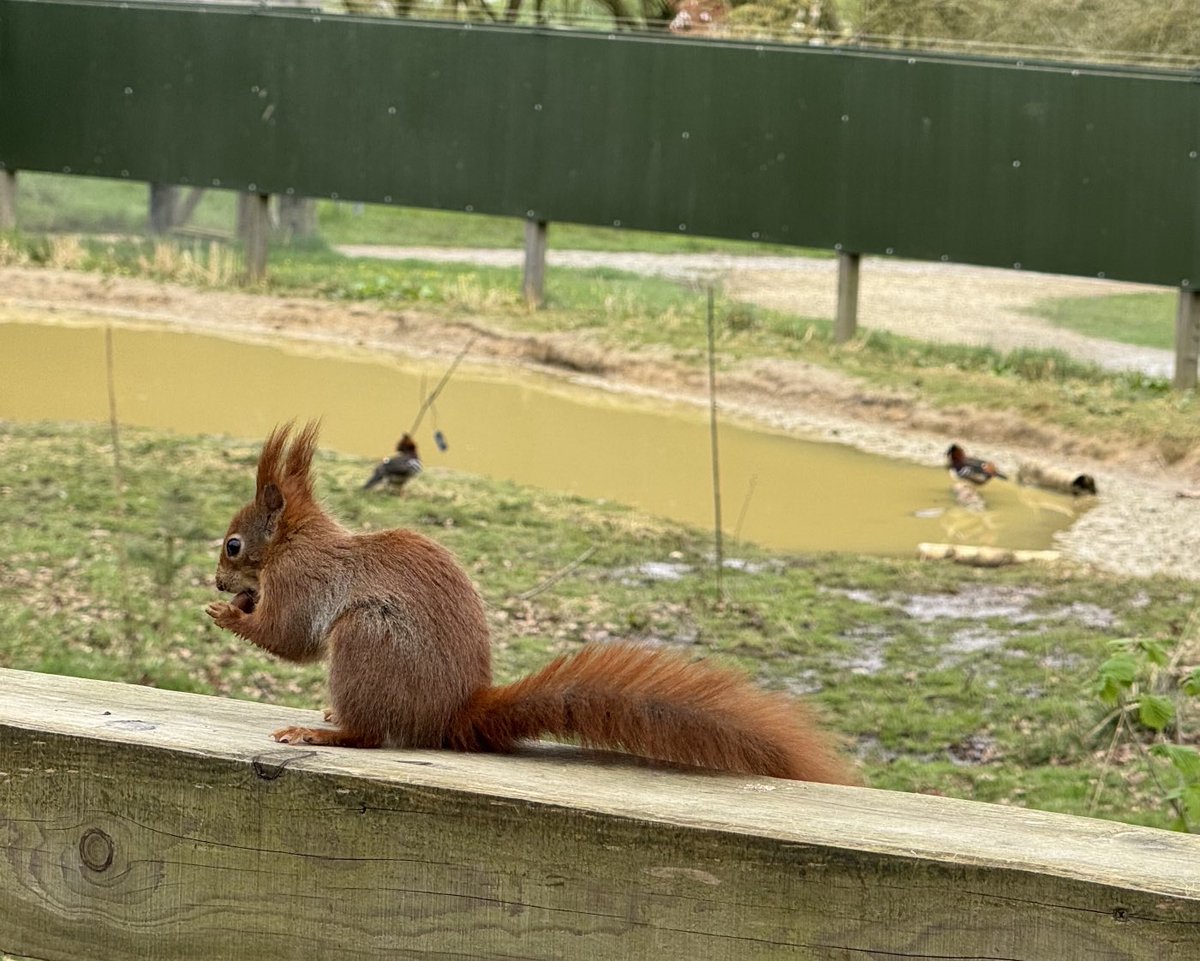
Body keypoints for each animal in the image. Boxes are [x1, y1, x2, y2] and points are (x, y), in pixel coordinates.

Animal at [206, 424, 859, 782]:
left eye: (234, 544)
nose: (216, 583)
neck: (294, 541)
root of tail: (453, 713)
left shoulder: (303, 581)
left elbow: (289, 637)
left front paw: (230, 615)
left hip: (367, 638)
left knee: (370, 735)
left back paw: (322, 733)